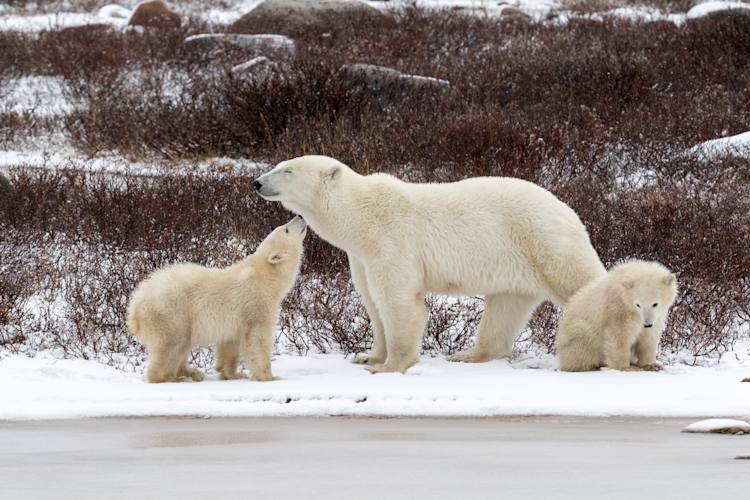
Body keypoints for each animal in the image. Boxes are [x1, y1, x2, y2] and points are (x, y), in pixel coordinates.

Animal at [127, 216, 307, 383]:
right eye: (286, 230)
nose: (300, 216)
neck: (265, 277)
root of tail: (136, 306)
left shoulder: (235, 319)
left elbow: (229, 345)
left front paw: (233, 374)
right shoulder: (257, 304)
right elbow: (258, 339)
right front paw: (271, 377)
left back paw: (192, 372)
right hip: (170, 313)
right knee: (173, 344)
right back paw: (177, 378)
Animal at [253, 155, 606, 374]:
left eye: (288, 170)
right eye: (279, 164)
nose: (256, 182)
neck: (362, 215)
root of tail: (569, 210)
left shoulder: (391, 241)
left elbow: (397, 300)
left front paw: (389, 365)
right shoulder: (362, 257)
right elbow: (372, 302)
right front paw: (367, 356)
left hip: (546, 243)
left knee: (582, 284)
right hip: (515, 263)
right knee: (505, 307)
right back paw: (468, 355)